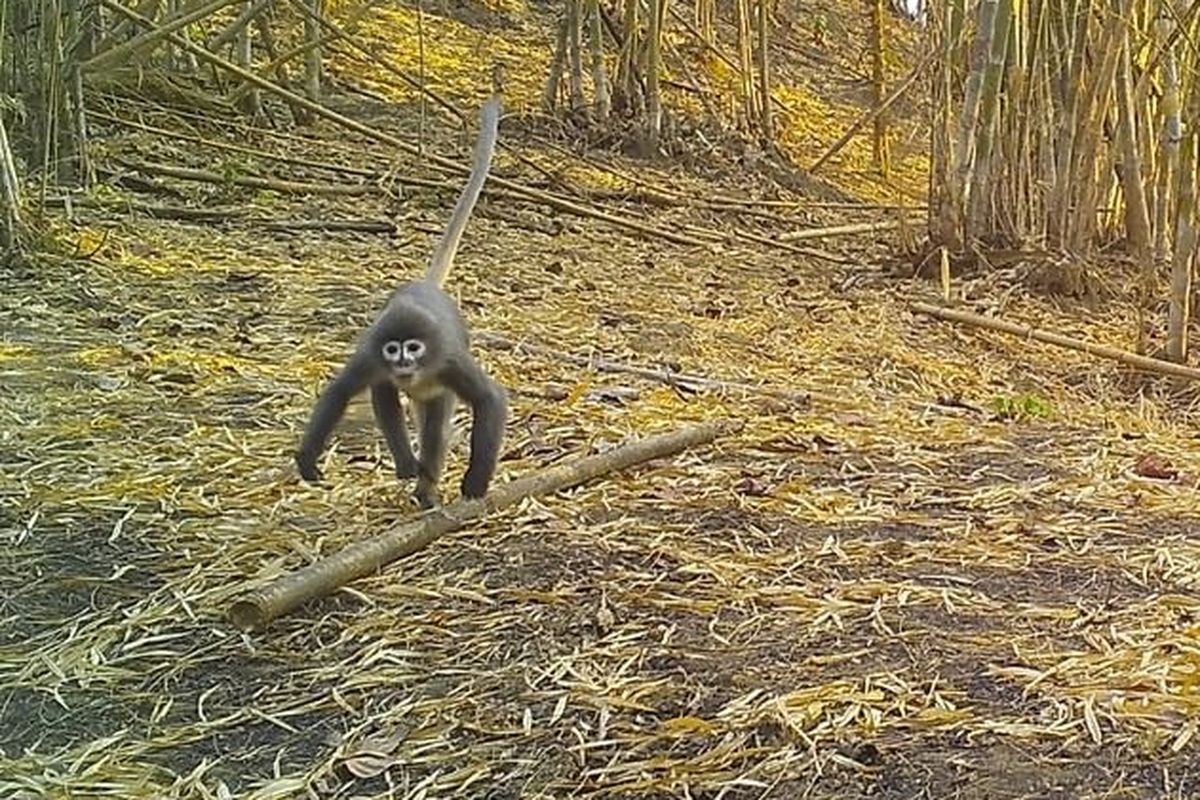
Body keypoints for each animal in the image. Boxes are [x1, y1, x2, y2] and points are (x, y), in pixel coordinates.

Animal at [300, 94, 511, 506]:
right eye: (393, 349)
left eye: (413, 348)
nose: (403, 361)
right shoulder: (371, 353)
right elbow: (340, 391)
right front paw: (306, 458)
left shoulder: (448, 360)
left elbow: (489, 399)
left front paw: (475, 484)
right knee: (386, 396)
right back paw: (409, 467)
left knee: (434, 427)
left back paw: (426, 486)